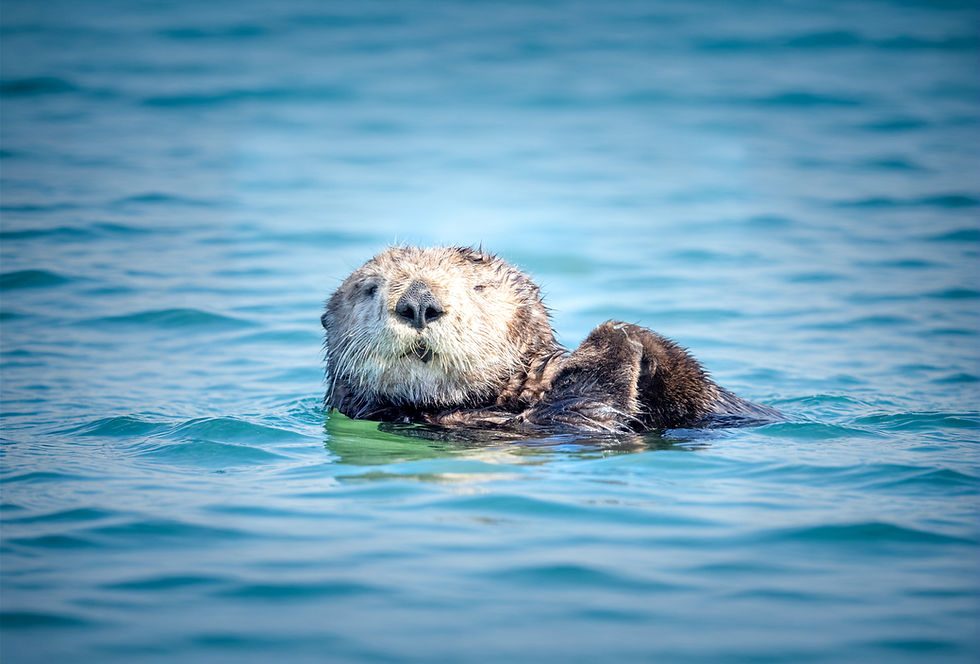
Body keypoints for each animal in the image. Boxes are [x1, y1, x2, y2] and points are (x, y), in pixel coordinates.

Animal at [321, 246, 778, 433]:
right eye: (370, 289)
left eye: (478, 288)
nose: (418, 303)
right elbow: (588, 411)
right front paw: (613, 337)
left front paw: (637, 340)